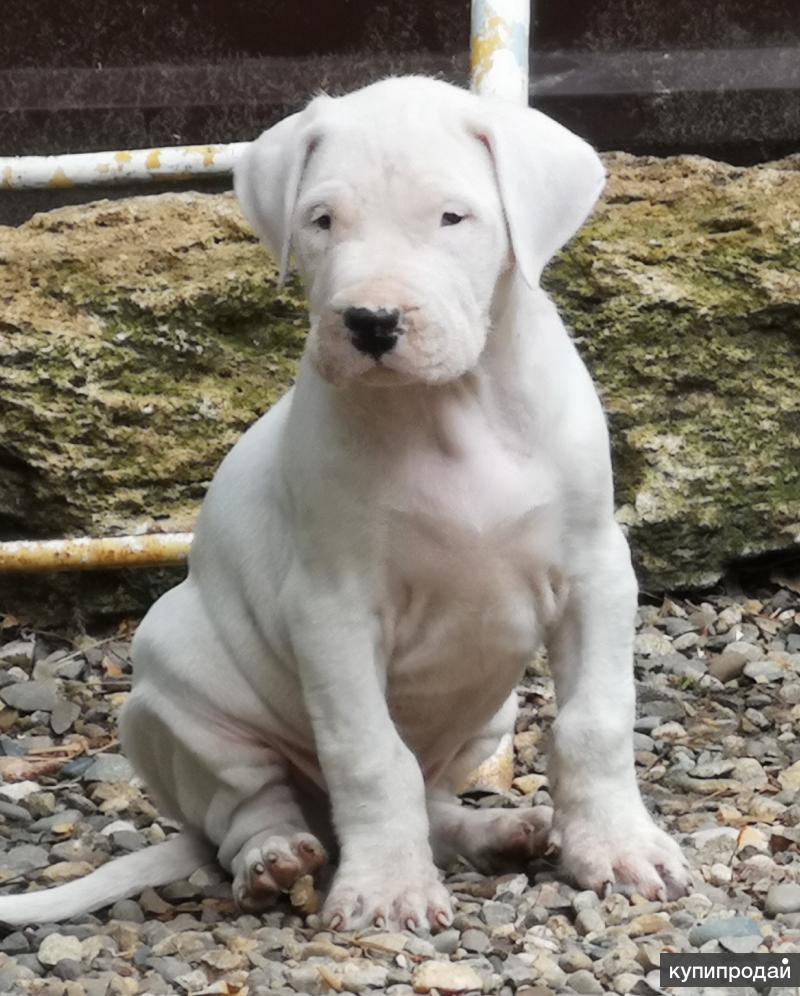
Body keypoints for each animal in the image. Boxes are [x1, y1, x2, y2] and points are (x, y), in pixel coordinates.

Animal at [0, 76, 689, 931]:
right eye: (322, 221)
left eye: (452, 217)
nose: (371, 321)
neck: (449, 410)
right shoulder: (334, 609)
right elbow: (369, 755)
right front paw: (389, 888)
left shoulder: (595, 572)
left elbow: (594, 722)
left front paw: (618, 847)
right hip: (176, 690)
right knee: (246, 810)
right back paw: (274, 858)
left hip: (488, 713)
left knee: (435, 800)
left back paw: (499, 831)